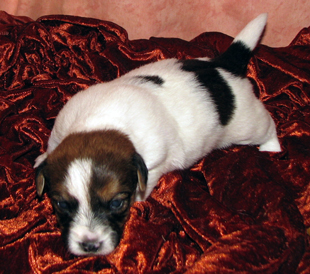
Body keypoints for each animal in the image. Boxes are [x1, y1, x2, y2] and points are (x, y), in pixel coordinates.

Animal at [34, 13, 280, 256]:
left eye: (116, 204)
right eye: (61, 205)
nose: (89, 245)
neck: (97, 122)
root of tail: (223, 66)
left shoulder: (153, 163)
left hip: (247, 123)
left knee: (268, 126)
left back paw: (272, 147)